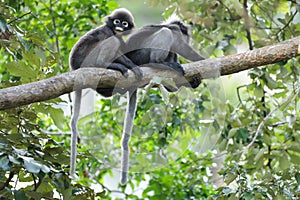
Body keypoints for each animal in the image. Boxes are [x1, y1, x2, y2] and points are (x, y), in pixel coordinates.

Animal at [69, 7, 142, 176]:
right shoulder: (108, 31)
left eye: (124, 23)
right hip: (89, 59)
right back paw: (111, 65)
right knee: (110, 45)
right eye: (116, 21)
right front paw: (132, 66)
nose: (119, 27)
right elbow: (117, 49)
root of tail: (75, 67)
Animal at [118, 15, 205, 184]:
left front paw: (194, 81)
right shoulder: (176, 31)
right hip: (141, 56)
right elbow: (179, 44)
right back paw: (157, 62)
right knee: (165, 33)